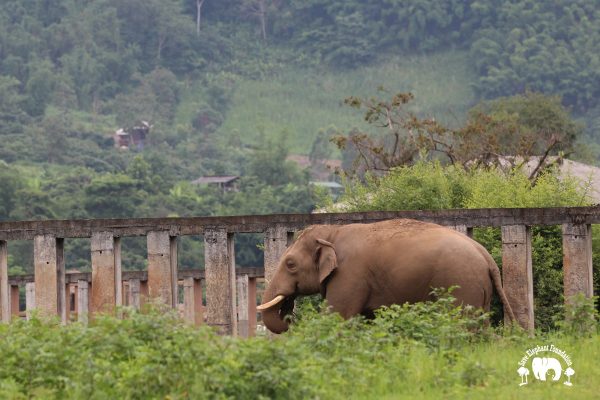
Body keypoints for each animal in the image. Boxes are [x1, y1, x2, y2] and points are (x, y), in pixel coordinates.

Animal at [258, 219, 516, 334]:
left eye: (290, 264)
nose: (289, 315)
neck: (333, 231)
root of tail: (486, 256)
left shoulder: (350, 275)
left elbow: (336, 317)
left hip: (461, 284)